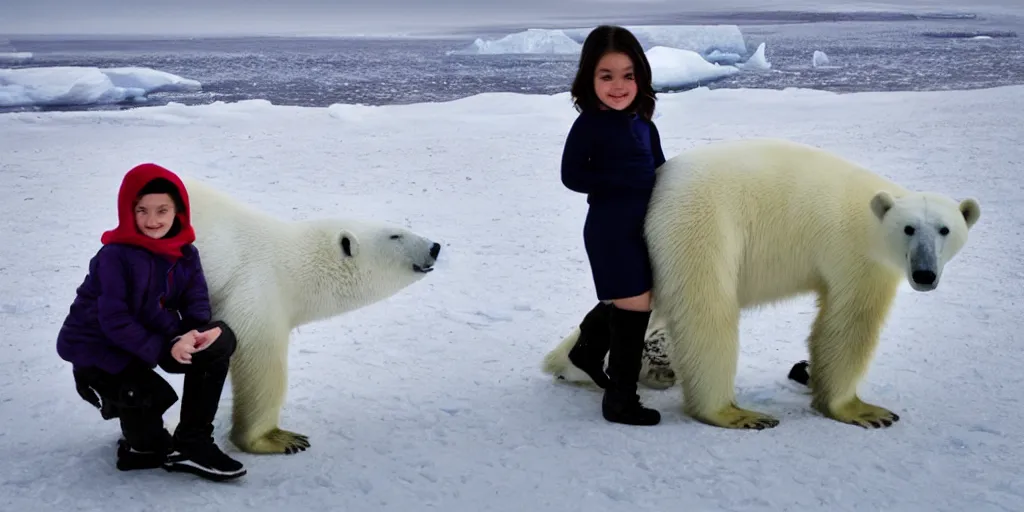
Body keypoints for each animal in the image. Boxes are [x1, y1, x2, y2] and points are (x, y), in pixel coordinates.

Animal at [184, 179, 440, 452]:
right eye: (395, 235)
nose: (435, 247)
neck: (292, 264)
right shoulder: (257, 291)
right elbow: (262, 366)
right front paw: (275, 438)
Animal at [540, 138, 978, 430]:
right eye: (909, 229)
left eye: (945, 229)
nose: (924, 274)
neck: (872, 214)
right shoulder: (856, 256)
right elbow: (849, 325)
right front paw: (861, 410)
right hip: (700, 225)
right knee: (707, 311)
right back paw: (732, 412)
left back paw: (585, 366)